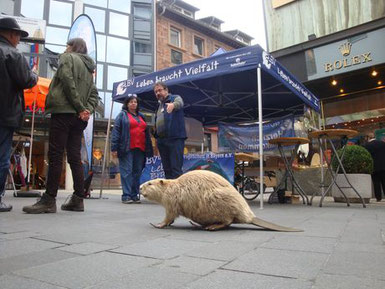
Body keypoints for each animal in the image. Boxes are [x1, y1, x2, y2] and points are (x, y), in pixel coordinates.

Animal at [140, 170, 302, 231]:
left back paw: (211, 227)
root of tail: (251, 217)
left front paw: (157, 224)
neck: (173, 186)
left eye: (150, 183)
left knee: (228, 221)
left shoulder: (171, 201)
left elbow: (169, 215)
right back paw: (198, 224)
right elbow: (171, 217)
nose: (140, 187)